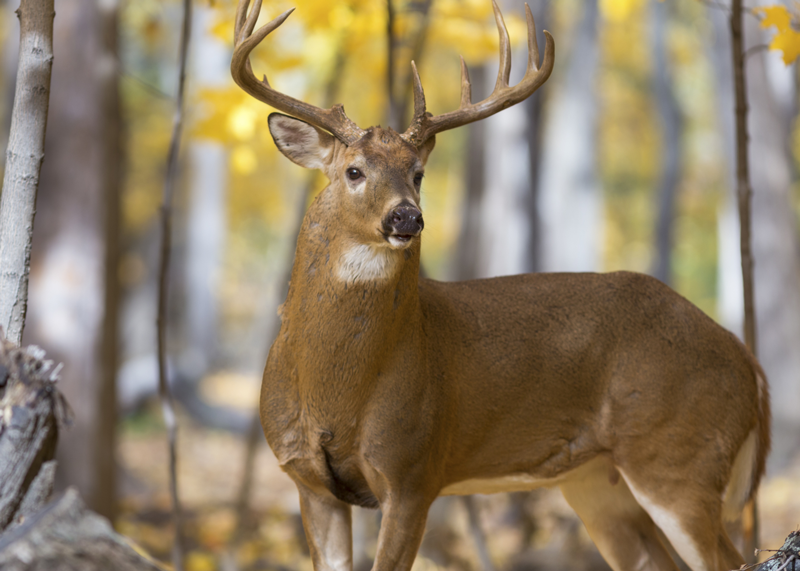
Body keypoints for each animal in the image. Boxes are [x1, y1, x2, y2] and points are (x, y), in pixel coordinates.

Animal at [231, 2, 770, 571]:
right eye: (353, 171)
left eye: (418, 173)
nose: (407, 217)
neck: (333, 391)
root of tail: (748, 362)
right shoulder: (308, 481)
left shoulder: (414, 470)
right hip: (598, 482)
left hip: (677, 455)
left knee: (729, 555)